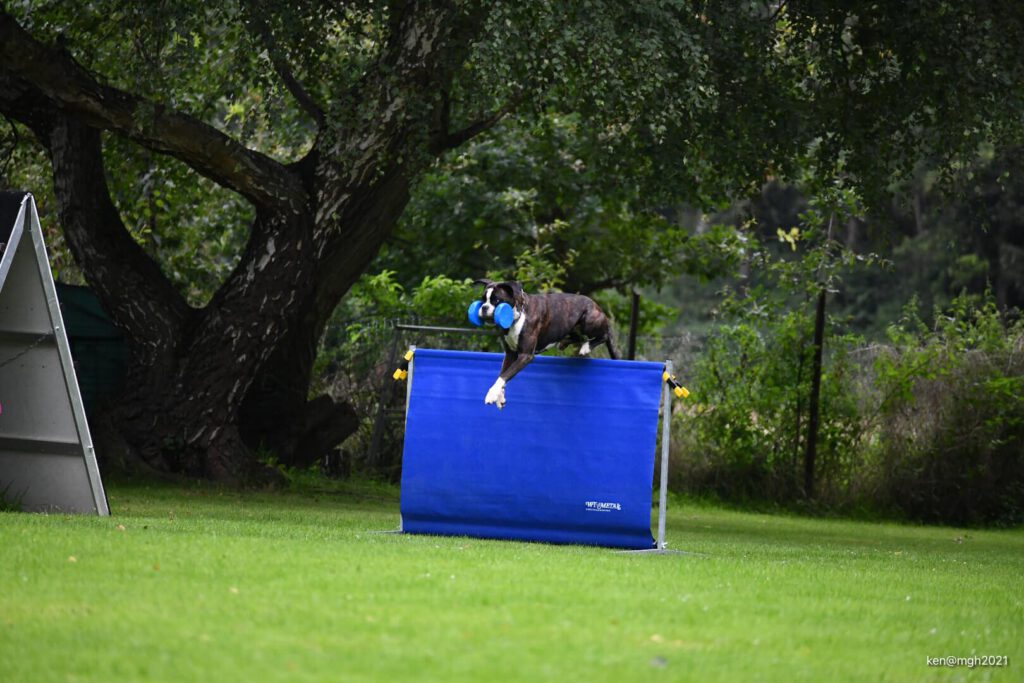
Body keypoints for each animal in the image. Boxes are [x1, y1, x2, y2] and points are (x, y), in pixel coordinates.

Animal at [468, 278, 614, 411]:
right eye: (482, 300)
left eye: (497, 301)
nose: (484, 307)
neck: (518, 315)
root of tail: (597, 306)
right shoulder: (510, 354)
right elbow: (502, 374)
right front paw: (500, 398)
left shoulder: (525, 356)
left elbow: (505, 375)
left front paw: (491, 394)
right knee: (577, 337)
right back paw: (564, 343)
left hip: (589, 321)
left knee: (604, 335)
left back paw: (586, 347)